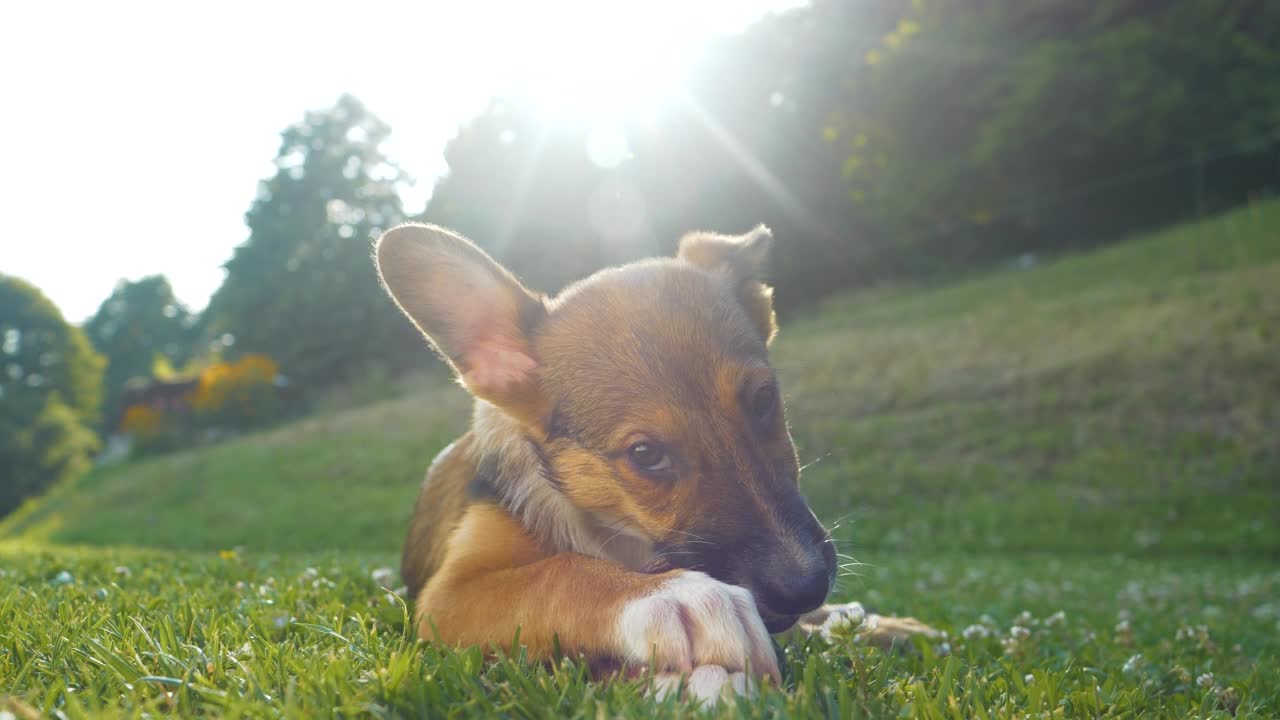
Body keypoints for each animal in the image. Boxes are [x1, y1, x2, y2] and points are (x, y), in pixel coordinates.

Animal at [373, 221, 936, 691]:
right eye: (646, 454)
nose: (805, 589)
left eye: (763, 401)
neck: (622, 534)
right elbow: (557, 574)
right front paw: (675, 598)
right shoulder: (446, 596)